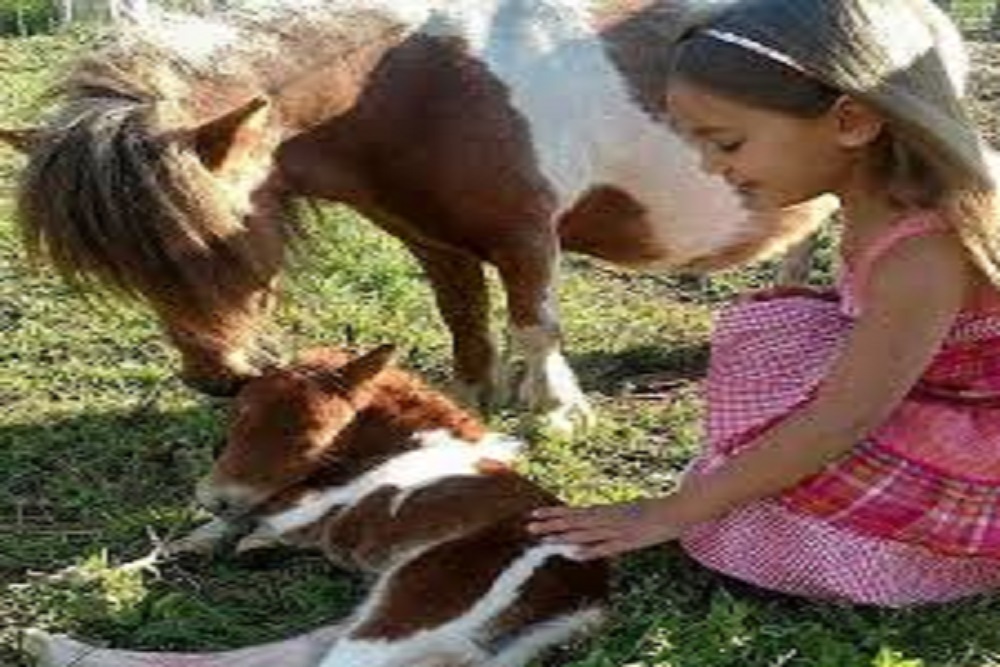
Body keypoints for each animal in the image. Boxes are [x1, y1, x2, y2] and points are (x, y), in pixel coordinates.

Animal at [2, 0, 835, 429]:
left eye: (208, 246)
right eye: (125, 268)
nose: (219, 380)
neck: (414, 86)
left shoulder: (527, 236)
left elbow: (534, 324)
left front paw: (553, 413)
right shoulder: (435, 243)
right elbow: (464, 321)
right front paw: (466, 399)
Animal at [26, 344, 610, 667]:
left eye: (312, 437)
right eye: (235, 416)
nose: (214, 494)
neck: (421, 445)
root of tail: (584, 596)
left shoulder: (313, 507)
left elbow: (257, 521)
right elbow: (199, 536)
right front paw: (69, 576)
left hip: (421, 602)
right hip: (400, 608)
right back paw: (47, 643)